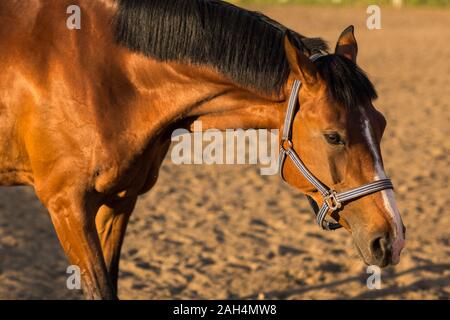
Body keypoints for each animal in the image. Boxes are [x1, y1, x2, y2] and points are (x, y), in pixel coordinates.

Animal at [0, 0, 406, 300]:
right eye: (334, 137)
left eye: (382, 124)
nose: (392, 238)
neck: (98, 73)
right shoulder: (67, 207)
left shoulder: (119, 203)